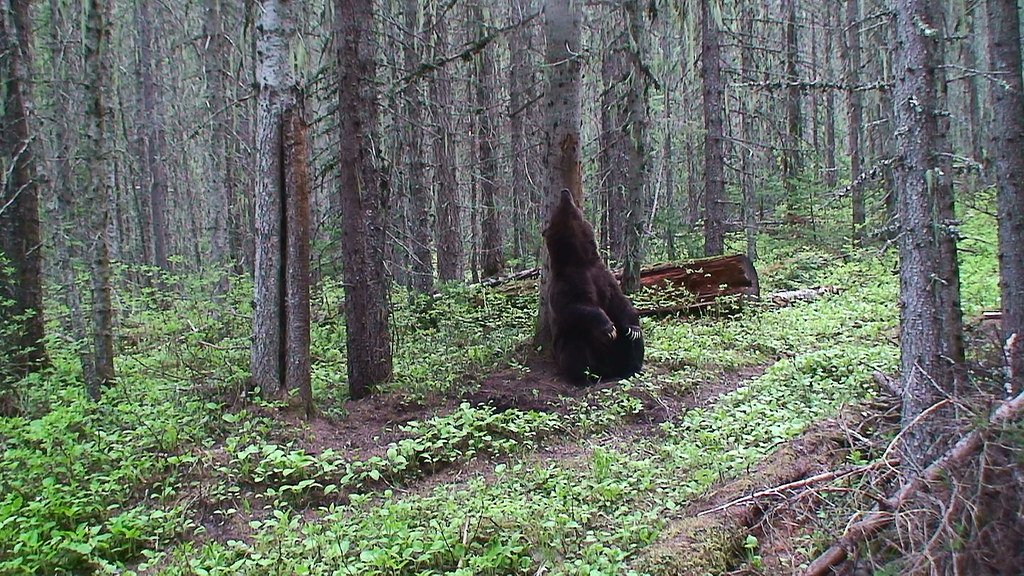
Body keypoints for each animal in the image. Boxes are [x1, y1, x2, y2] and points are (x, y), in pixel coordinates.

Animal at [543, 189, 644, 384]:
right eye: (554, 213)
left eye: (577, 210)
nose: (565, 192)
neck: (579, 260)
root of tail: (607, 371)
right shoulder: (566, 283)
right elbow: (573, 306)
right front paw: (608, 327)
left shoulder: (603, 276)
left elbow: (619, 301)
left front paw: (633, 328)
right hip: (571, 342)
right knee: (575, 349)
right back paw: (583, 378)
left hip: (620, 350)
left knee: (634, 344)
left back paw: (632, 369)